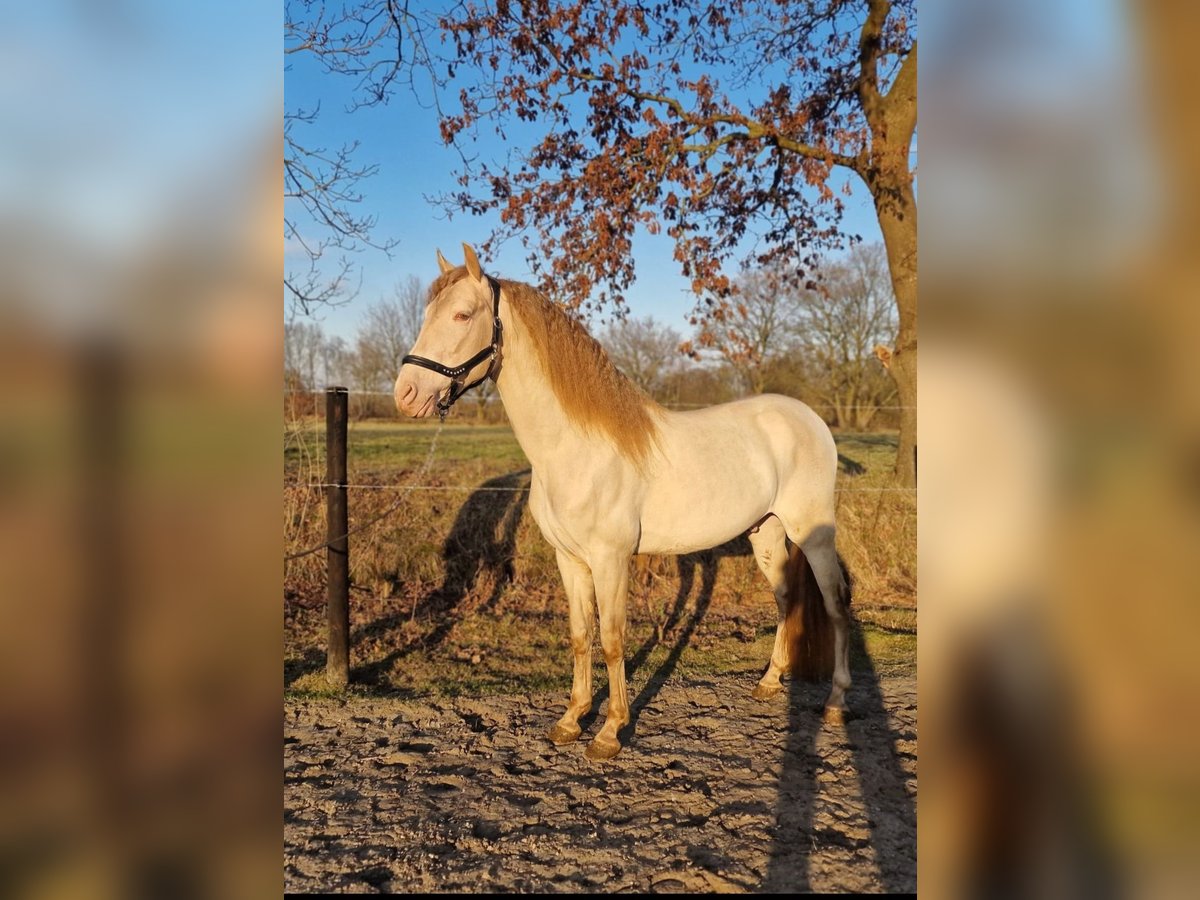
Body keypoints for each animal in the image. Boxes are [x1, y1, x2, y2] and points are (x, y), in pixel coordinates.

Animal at [396, 243, 854, 758]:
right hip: (768, 533)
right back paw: (770, 682)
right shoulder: (570, 559)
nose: (406, 394)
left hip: (813, 534)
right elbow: (580, 635)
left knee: (836, 604)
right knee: (786, 599)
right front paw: (570, 720)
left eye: (461, 314)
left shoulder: (610, 559)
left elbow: (613, 638)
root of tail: (809, 418)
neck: (573, 448)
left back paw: (836, 704)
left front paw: (610, 730)